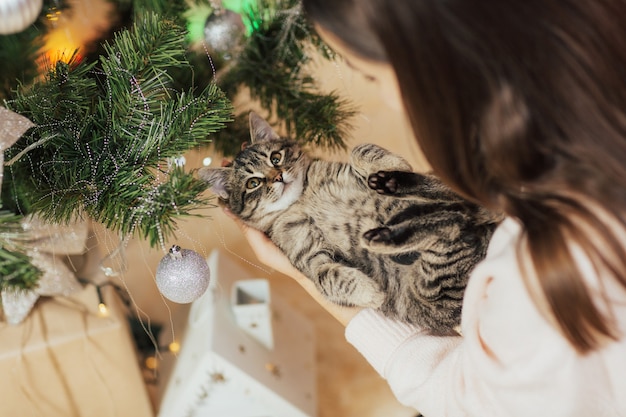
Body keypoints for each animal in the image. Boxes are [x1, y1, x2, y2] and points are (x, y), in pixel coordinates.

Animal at [201, 112, 502, 334]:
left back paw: (394, 184)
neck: (301, 199)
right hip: (433, 282)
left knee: (456, 208)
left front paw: (392, 162)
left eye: (276, 158)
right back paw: (384, 233)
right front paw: (371, 294)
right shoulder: (308, 255)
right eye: (253, 183)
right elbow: (327, 276)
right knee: (455, 222)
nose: (278, 177)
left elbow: (360, 149)